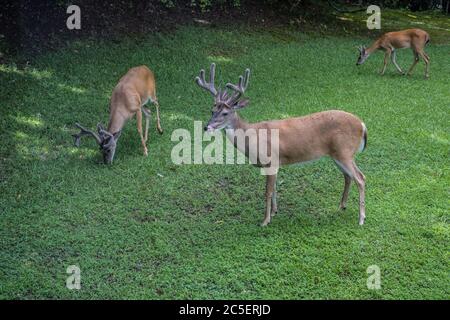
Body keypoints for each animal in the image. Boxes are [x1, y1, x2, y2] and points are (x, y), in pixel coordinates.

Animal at [195, 63, 368, 226]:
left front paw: (265, 221)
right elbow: (275, 189)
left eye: (225, 113)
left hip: (345, 152)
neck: (252, 136)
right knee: (348, 176)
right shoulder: (276, 163)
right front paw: (274, 212)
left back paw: (361, 218)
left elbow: (267, 192)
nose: (206, 127)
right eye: (212, 110)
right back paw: (341, 206)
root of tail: (362, 124)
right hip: (336, 155)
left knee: (360, 178)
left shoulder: (270, 161)